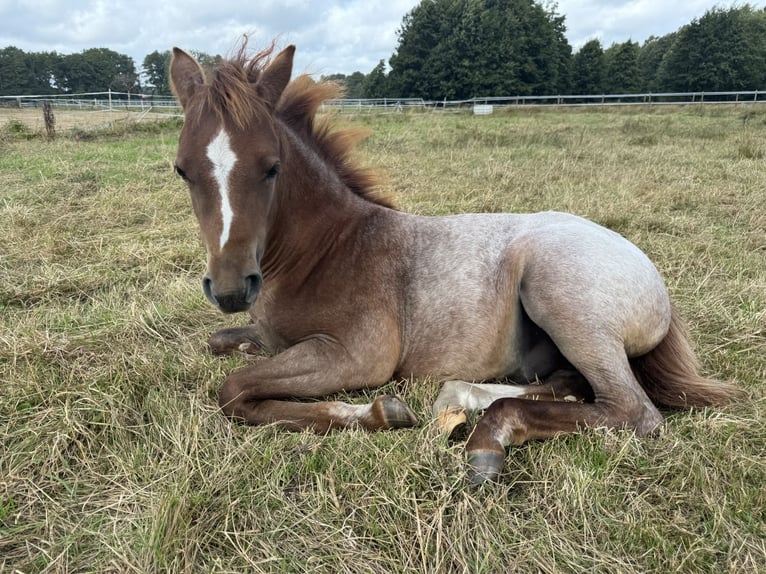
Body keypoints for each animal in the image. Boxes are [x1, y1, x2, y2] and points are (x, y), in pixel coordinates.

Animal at [168, 43, 740, 484]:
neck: (329, 248)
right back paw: (462, 398)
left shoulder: (355, 355)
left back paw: (487, 440)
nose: (231, 289)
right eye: (182, 170)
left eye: (271, 167)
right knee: (571, 385)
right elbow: (224, 346)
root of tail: (654, 281)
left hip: (559, 295)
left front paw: (381, 412)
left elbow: (234, 390)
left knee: (631, 410)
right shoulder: (273, 336)